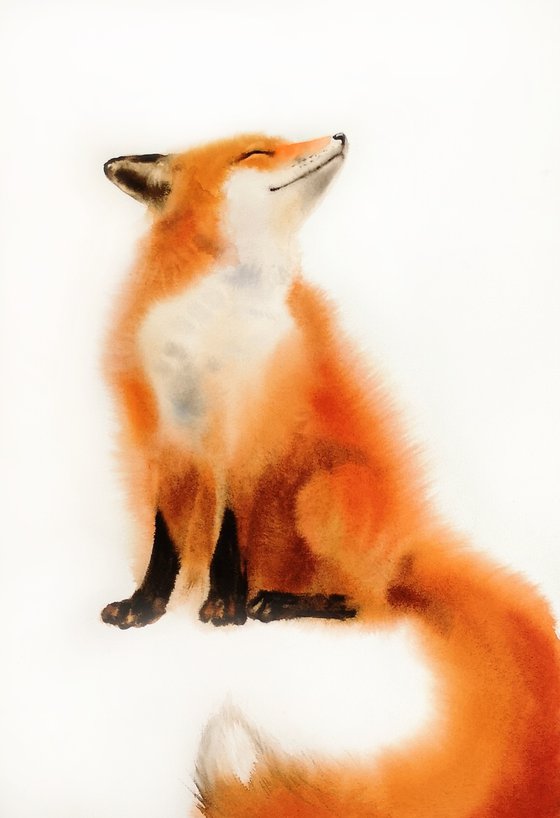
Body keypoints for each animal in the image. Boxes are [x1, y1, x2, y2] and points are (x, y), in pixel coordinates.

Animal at [101, 132, 560, 816]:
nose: (340, 135)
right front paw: (146, 607)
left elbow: (230, 533)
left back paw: (278, 603)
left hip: (322, 496)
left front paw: (224, 605)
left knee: (370, 604)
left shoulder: (251, 433)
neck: (213, 327)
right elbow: (165, 544)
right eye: (256, 153)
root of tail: (411, 538)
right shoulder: (168, 436)